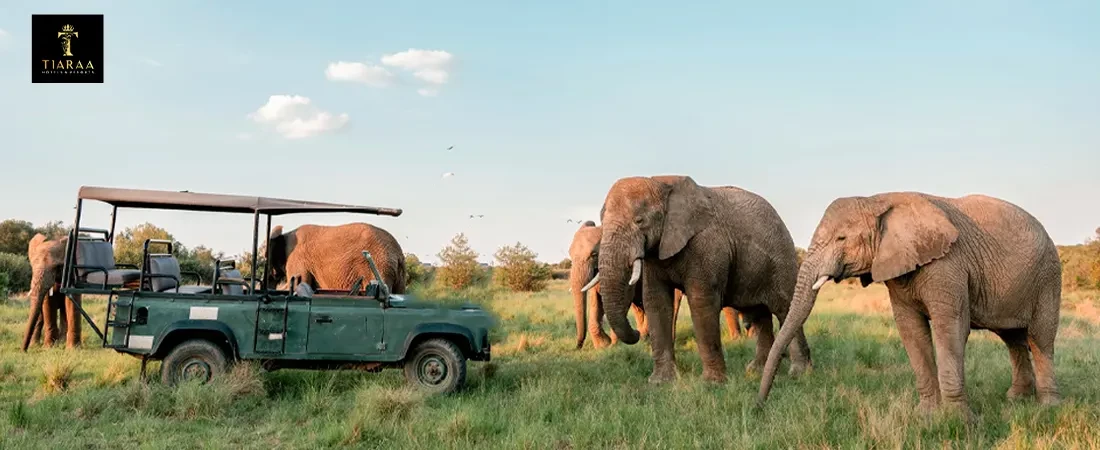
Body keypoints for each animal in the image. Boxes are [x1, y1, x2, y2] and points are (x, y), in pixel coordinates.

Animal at [569, 221, 751, 349]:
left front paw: (614, 344)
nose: (577, 347)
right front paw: (604, 346)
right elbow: (596, 301)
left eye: (594, 254)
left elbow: (623, 298)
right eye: (570, 255)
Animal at [592, 175, 808, 384]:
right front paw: (660, 382)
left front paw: (712, 383)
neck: (661, 183)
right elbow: (656, 301)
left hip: (782, 260)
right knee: (760, 315)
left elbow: (700, 302)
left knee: (785, 310)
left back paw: (799, 372)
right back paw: (756, 371)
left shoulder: (707, 246)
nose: (637, 334)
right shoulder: (656, 251)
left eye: (639, 221)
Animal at [757, 192, 1063, 415]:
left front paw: (959, 420)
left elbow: (951, 327)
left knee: (1040, 339)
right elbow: (911, 330)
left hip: (1048, 277)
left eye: (841, 238)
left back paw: (1048, 407)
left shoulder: (947, 264)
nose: (758, 405)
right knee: (1013, 339)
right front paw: (927, 415)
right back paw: (1015, 399)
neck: (878, 199)